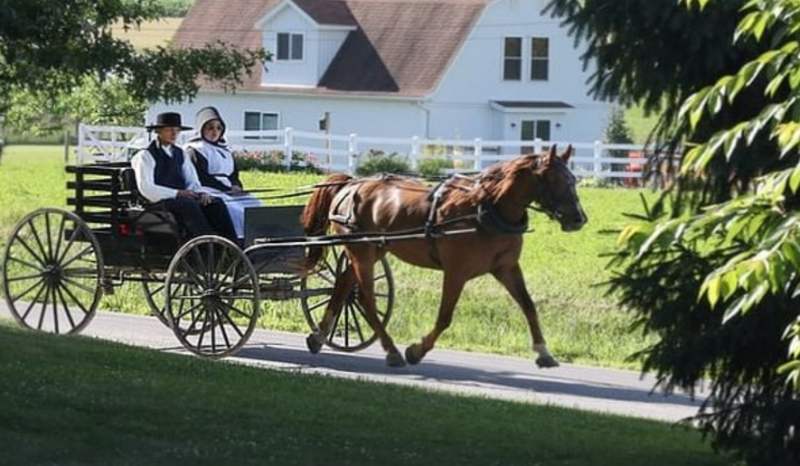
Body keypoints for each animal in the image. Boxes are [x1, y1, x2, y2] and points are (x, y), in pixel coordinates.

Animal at [300, 145, 588, 368]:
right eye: (556, 180)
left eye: (573, 180)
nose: (579, 219)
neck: (486, 208)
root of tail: (351, 183)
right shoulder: (456, 271)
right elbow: (445, 316)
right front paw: (416, 350)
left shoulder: (507, 268)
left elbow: (528, 306)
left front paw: (543, 351)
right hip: (362, 251)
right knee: (366, 299)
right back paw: (391, 350)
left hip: (373, 249)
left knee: (343, 285)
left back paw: (319, 336)